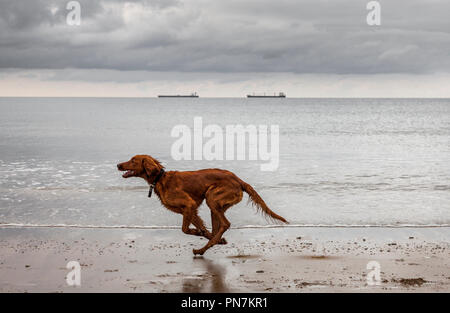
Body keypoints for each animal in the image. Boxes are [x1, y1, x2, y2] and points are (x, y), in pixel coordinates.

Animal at [118, 154, 286, 254]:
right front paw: (210, 236)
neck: (160, 179)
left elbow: (185, 229)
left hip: (211, 198)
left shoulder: (189, 204)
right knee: (218, 227)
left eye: (133, 161)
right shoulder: (189, 210)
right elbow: (203, 228)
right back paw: (212, 243)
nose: (118, 165)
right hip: (215, 203)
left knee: (225, 224)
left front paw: (198, 233)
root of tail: (238, 179)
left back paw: (202, 250)